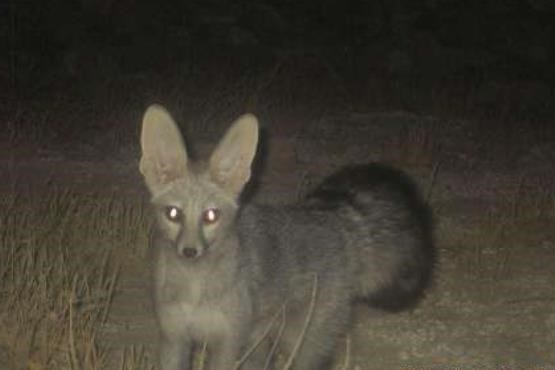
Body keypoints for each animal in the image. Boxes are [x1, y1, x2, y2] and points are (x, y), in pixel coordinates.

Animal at [138, 105, 434, 370]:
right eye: (173, 214)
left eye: (211, 216)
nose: (189, 251)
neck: (195, 290)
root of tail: (334, 216)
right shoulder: (174, 339)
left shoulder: (229, 344)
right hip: (262, 341)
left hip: (299, 342)